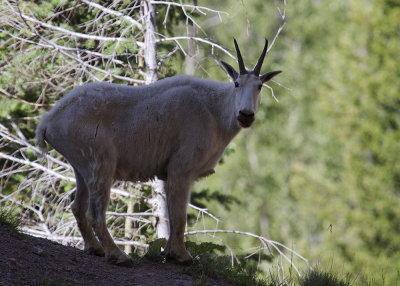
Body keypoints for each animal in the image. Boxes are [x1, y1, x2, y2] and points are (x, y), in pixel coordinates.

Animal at [36, 38, 282, 266]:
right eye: (237, 83)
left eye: (259, 86)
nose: (246, 115)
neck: (216, 111)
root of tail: (49, 121)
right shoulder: (181, 168)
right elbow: (179, 216)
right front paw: (181, 256)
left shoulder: (169, 173)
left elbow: (172, 216)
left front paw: (170, 253)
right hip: (100, 164)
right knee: (94, 214)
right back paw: (118, 255)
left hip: (81, 167)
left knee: (77, 207)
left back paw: (95, 249)